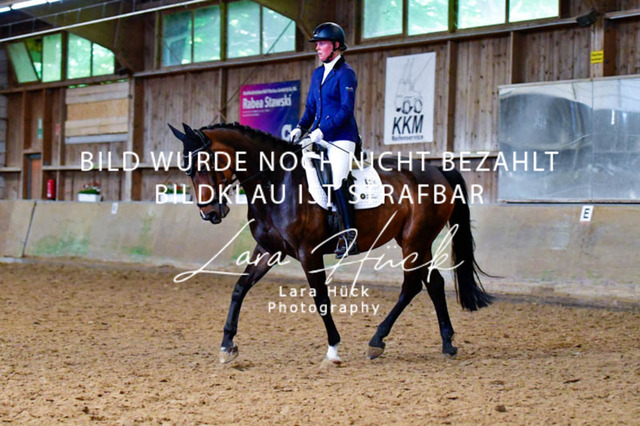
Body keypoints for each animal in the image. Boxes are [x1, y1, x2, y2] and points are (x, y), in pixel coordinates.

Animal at [168, 122, 493, 364]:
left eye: (205, 163)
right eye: (187, 169)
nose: (210, 213)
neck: (276, 181)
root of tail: (438, 171)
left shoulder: (308, 252)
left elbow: (321, 299)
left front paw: (333, 349)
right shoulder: (269, 251)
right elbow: (239, 288)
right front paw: (227, 345)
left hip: (415, 241)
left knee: (412, 285)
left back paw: (378, 340)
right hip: (415, 242)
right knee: (432, 283)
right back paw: (445, 343)